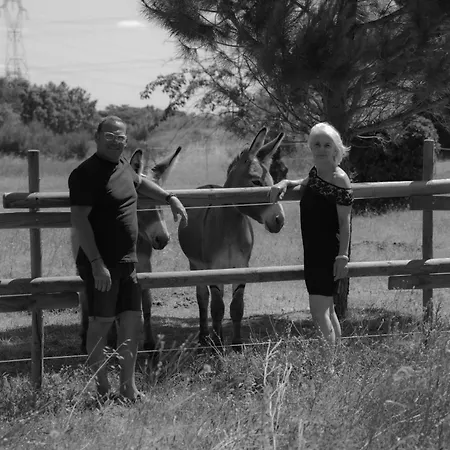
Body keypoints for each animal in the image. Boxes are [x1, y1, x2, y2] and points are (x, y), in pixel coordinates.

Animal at [178, 128, 286, 350]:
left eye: (272, 182)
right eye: (256, 182)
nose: (279, 220)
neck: (230, 227)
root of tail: (207, 185)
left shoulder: (241, 266)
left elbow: (237, 306)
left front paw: (236, 344)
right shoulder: (214, 268)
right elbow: (217, 307)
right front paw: (217, 345)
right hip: (196, 265)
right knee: (203, 298)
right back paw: (204, 338)